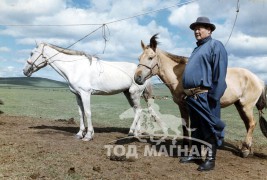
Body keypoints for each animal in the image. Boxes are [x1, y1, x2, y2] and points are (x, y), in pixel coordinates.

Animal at [23, 43, 165, 141]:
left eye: (31, 53)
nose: (25, 71)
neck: (75, 67)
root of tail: (143, 72)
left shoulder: (85, 94)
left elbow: (88, 112)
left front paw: (88, 135)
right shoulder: (77, 95)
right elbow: (81, 113)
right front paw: (79, 134)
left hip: (134, 94)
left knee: (139, 111)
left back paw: (131, 132)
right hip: (128, 94)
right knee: (137, 111)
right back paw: (136, 134)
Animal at [135, 34, 267, 158]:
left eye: (150, 57)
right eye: (139, 58)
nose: (137, 78)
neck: (180, 77)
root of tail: (258, 80)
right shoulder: (182, 106)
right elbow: (185, 126)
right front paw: (186, 146)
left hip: (246, 106)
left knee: (252, 123)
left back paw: (245, 150)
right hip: (240, 106)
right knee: (248, 124)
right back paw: (248, 149)